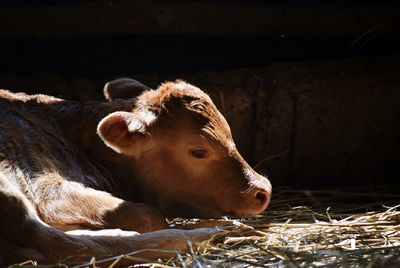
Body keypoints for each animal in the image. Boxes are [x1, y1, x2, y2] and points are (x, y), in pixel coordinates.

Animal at [0, 78, 272, 264]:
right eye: (198, 151)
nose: (264, 190)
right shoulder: (47, 190)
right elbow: (148, 214)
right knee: (55, 240)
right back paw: (208, 233)